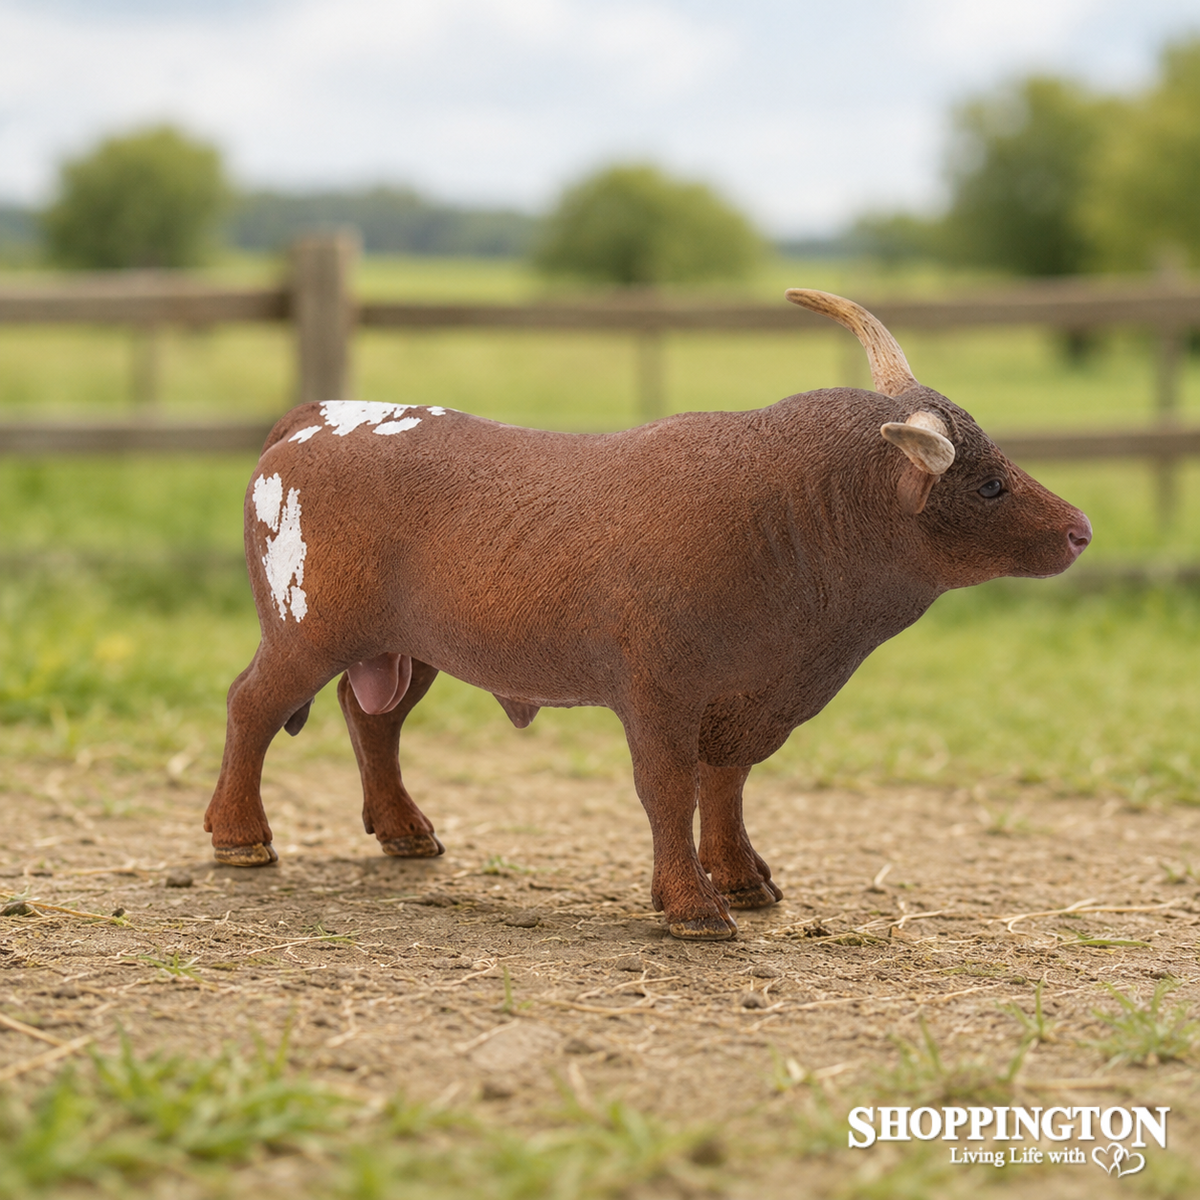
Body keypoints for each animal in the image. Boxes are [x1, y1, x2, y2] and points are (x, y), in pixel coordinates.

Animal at [205, 289, 1090, 941]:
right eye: (988, 485)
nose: (1080, 529)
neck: (788, 521)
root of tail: (318, 415)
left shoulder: (746, 697)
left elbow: (724, 784)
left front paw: (743, 878)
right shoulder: (661, 692)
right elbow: (668, 788)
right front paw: (694, 907)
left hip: (402, 649)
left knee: (372, 720)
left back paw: (404, 832)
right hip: (306, 632)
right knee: (252, 704)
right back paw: (240, 837)